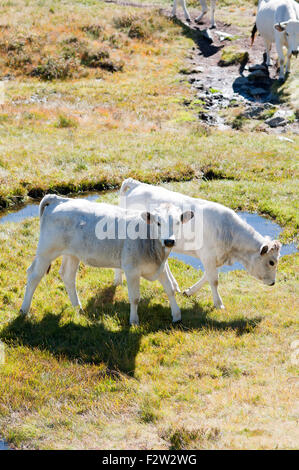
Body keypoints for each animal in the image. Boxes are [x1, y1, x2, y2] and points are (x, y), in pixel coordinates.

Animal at [20, 194, 195, 324]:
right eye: (158, 223)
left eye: (178, 222)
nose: (169, 241)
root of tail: (59, 199)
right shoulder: (131, 270)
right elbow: (135, 298)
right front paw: (134, 321)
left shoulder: (161, 267)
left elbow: (170, 289)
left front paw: (177, 316)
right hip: (46, 251)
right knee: (34, 275)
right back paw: (24, 310)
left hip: (72, 254)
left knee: (67, 276)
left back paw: (78, 308)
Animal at [116, 180, 282, 312]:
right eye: (271, 262)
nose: (273, 283)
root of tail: (137, 184)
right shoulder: (208, 255)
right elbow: (214, 280)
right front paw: (219, 304)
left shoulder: (215, 258)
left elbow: (207, 276)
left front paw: (189, 291)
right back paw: (118, 281)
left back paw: (175, 285)